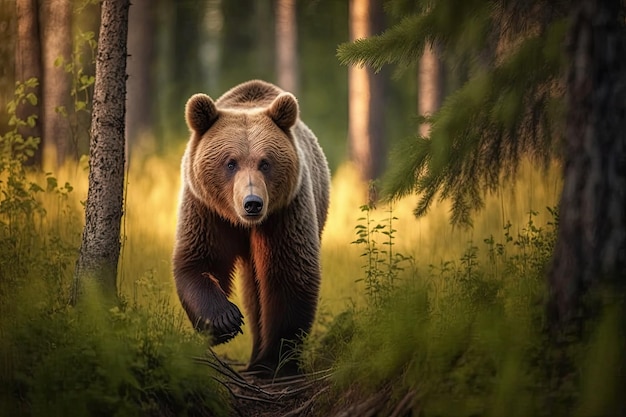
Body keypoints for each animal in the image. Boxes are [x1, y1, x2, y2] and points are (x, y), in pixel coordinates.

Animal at [168, 79, 330, 376]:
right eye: (230, 162)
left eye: (265, 162)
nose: (252, 203)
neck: (242, 223)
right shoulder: (206, 210)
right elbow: (198, 261)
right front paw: (225, 320)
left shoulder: (284, 213)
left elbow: (289, 276)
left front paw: (274, 362)